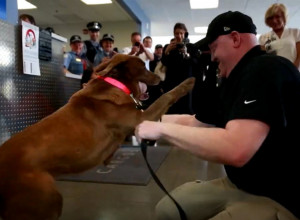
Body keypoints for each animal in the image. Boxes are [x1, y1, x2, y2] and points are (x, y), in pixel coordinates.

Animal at [0, 53, 195, 220]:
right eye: (142, 66)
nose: (160, 79)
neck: (115, 84)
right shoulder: (142, 118)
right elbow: (166, 97)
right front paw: (187, 83)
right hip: (45, 200)